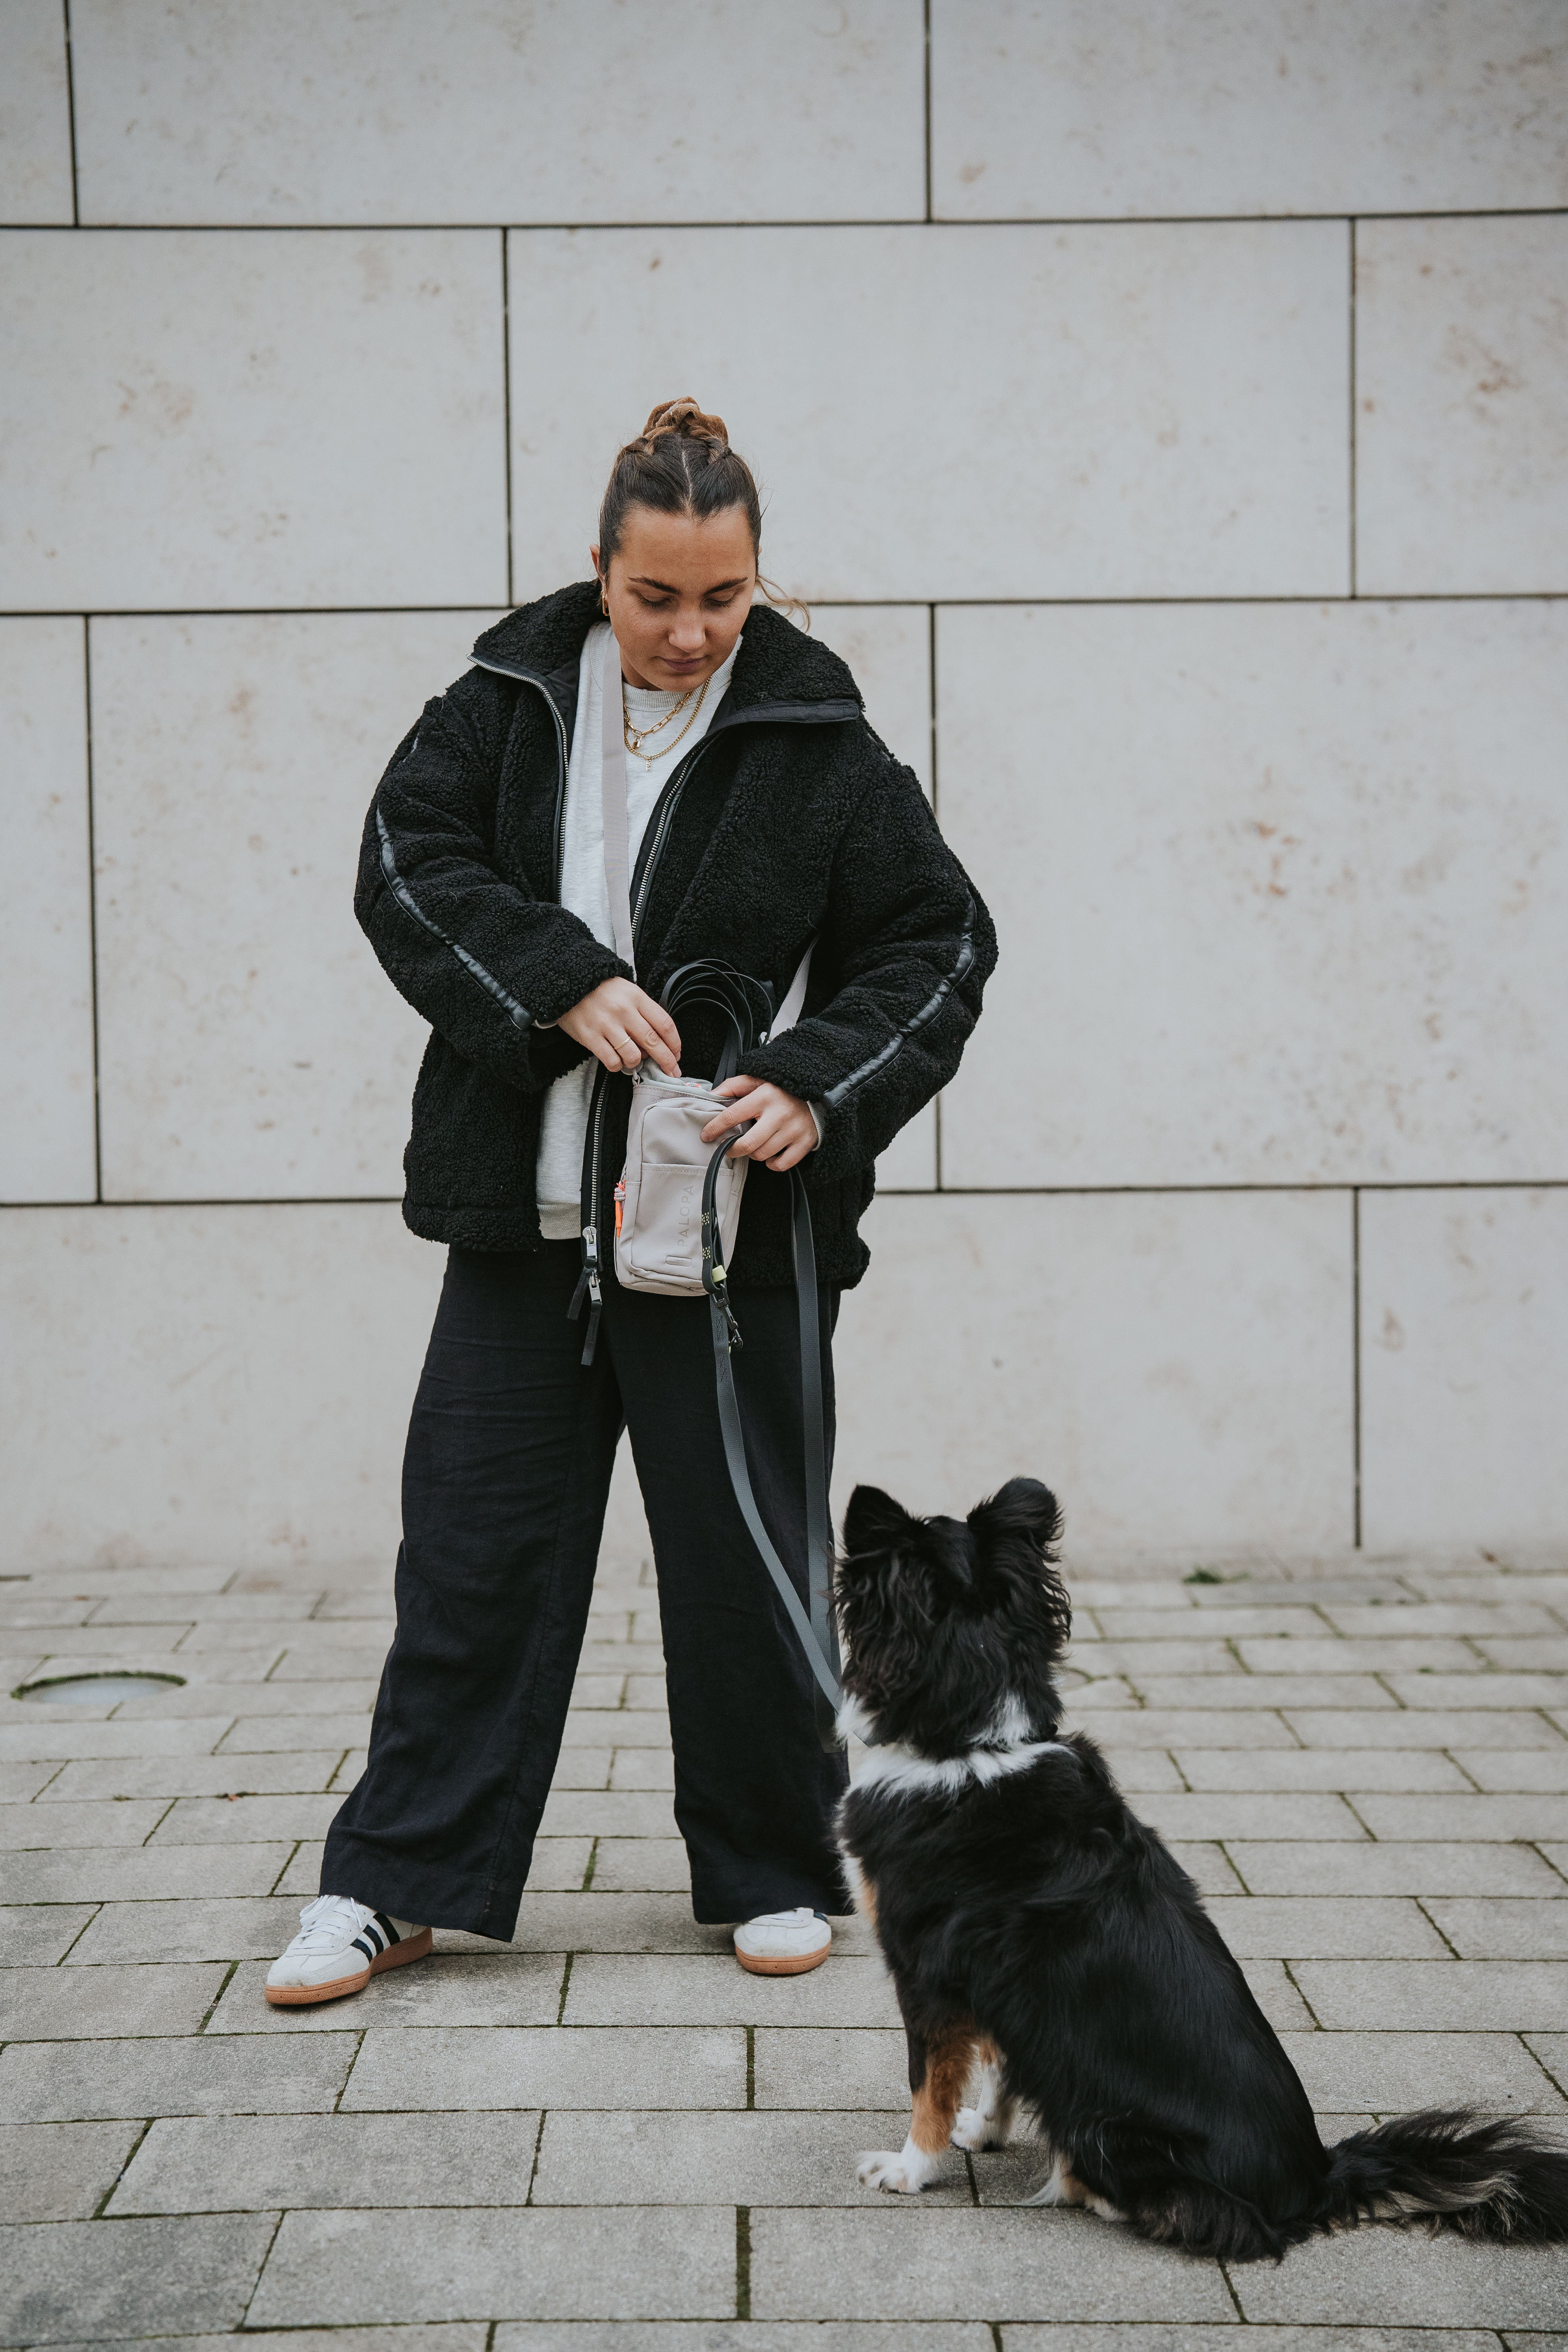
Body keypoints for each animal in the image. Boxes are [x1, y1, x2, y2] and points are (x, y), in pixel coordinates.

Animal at [832, 1468, 1568, 2258]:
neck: (974, 1745)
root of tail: (1318, 2179)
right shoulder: (1004, 1987)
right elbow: (1003, 2064)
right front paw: (987, 2131)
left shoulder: (927, 1975)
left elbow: (929, 2085)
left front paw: (909, 2167)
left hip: (1113, 2129)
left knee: (1203, 2212)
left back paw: (1076, 2181)